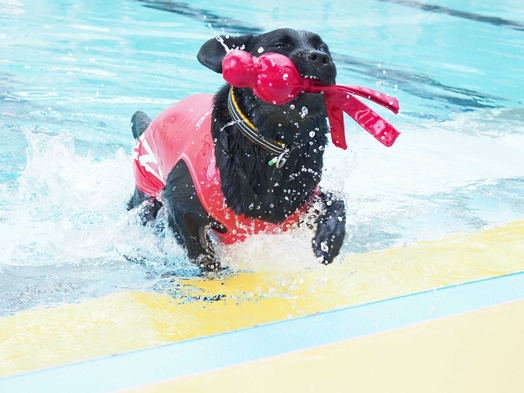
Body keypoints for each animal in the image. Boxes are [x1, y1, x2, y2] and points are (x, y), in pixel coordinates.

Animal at [128, 29, 346, 270]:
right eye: (280, 45)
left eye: (324, 48)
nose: (320, 58)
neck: (273, 148)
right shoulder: (180, 207)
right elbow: (204, 256)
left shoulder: (302, 204)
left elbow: (337, 201)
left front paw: (328, 240)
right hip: (146, 199)